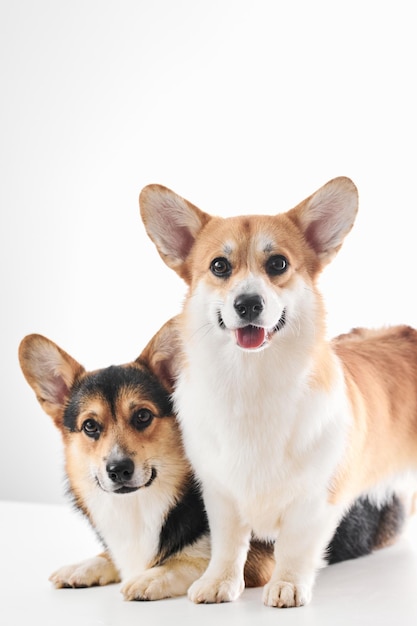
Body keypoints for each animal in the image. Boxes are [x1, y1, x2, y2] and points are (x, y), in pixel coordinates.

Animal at [20, 316, 410, 600]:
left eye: (143, 416)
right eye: (90, 426)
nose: (118, 469)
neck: (145, 505)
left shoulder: (257, 560)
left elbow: (193, 562)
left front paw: (150, 577)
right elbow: (115, 556)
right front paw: (83, 567)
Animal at [139, 176, 416, 604]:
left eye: (278, 264)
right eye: (219, 266)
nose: (248, 304)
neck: (252, 381)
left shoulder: (315, 500)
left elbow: (294, 547)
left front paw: (287, 586)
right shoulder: (221, 494)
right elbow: (228, 545)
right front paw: (219, 583)